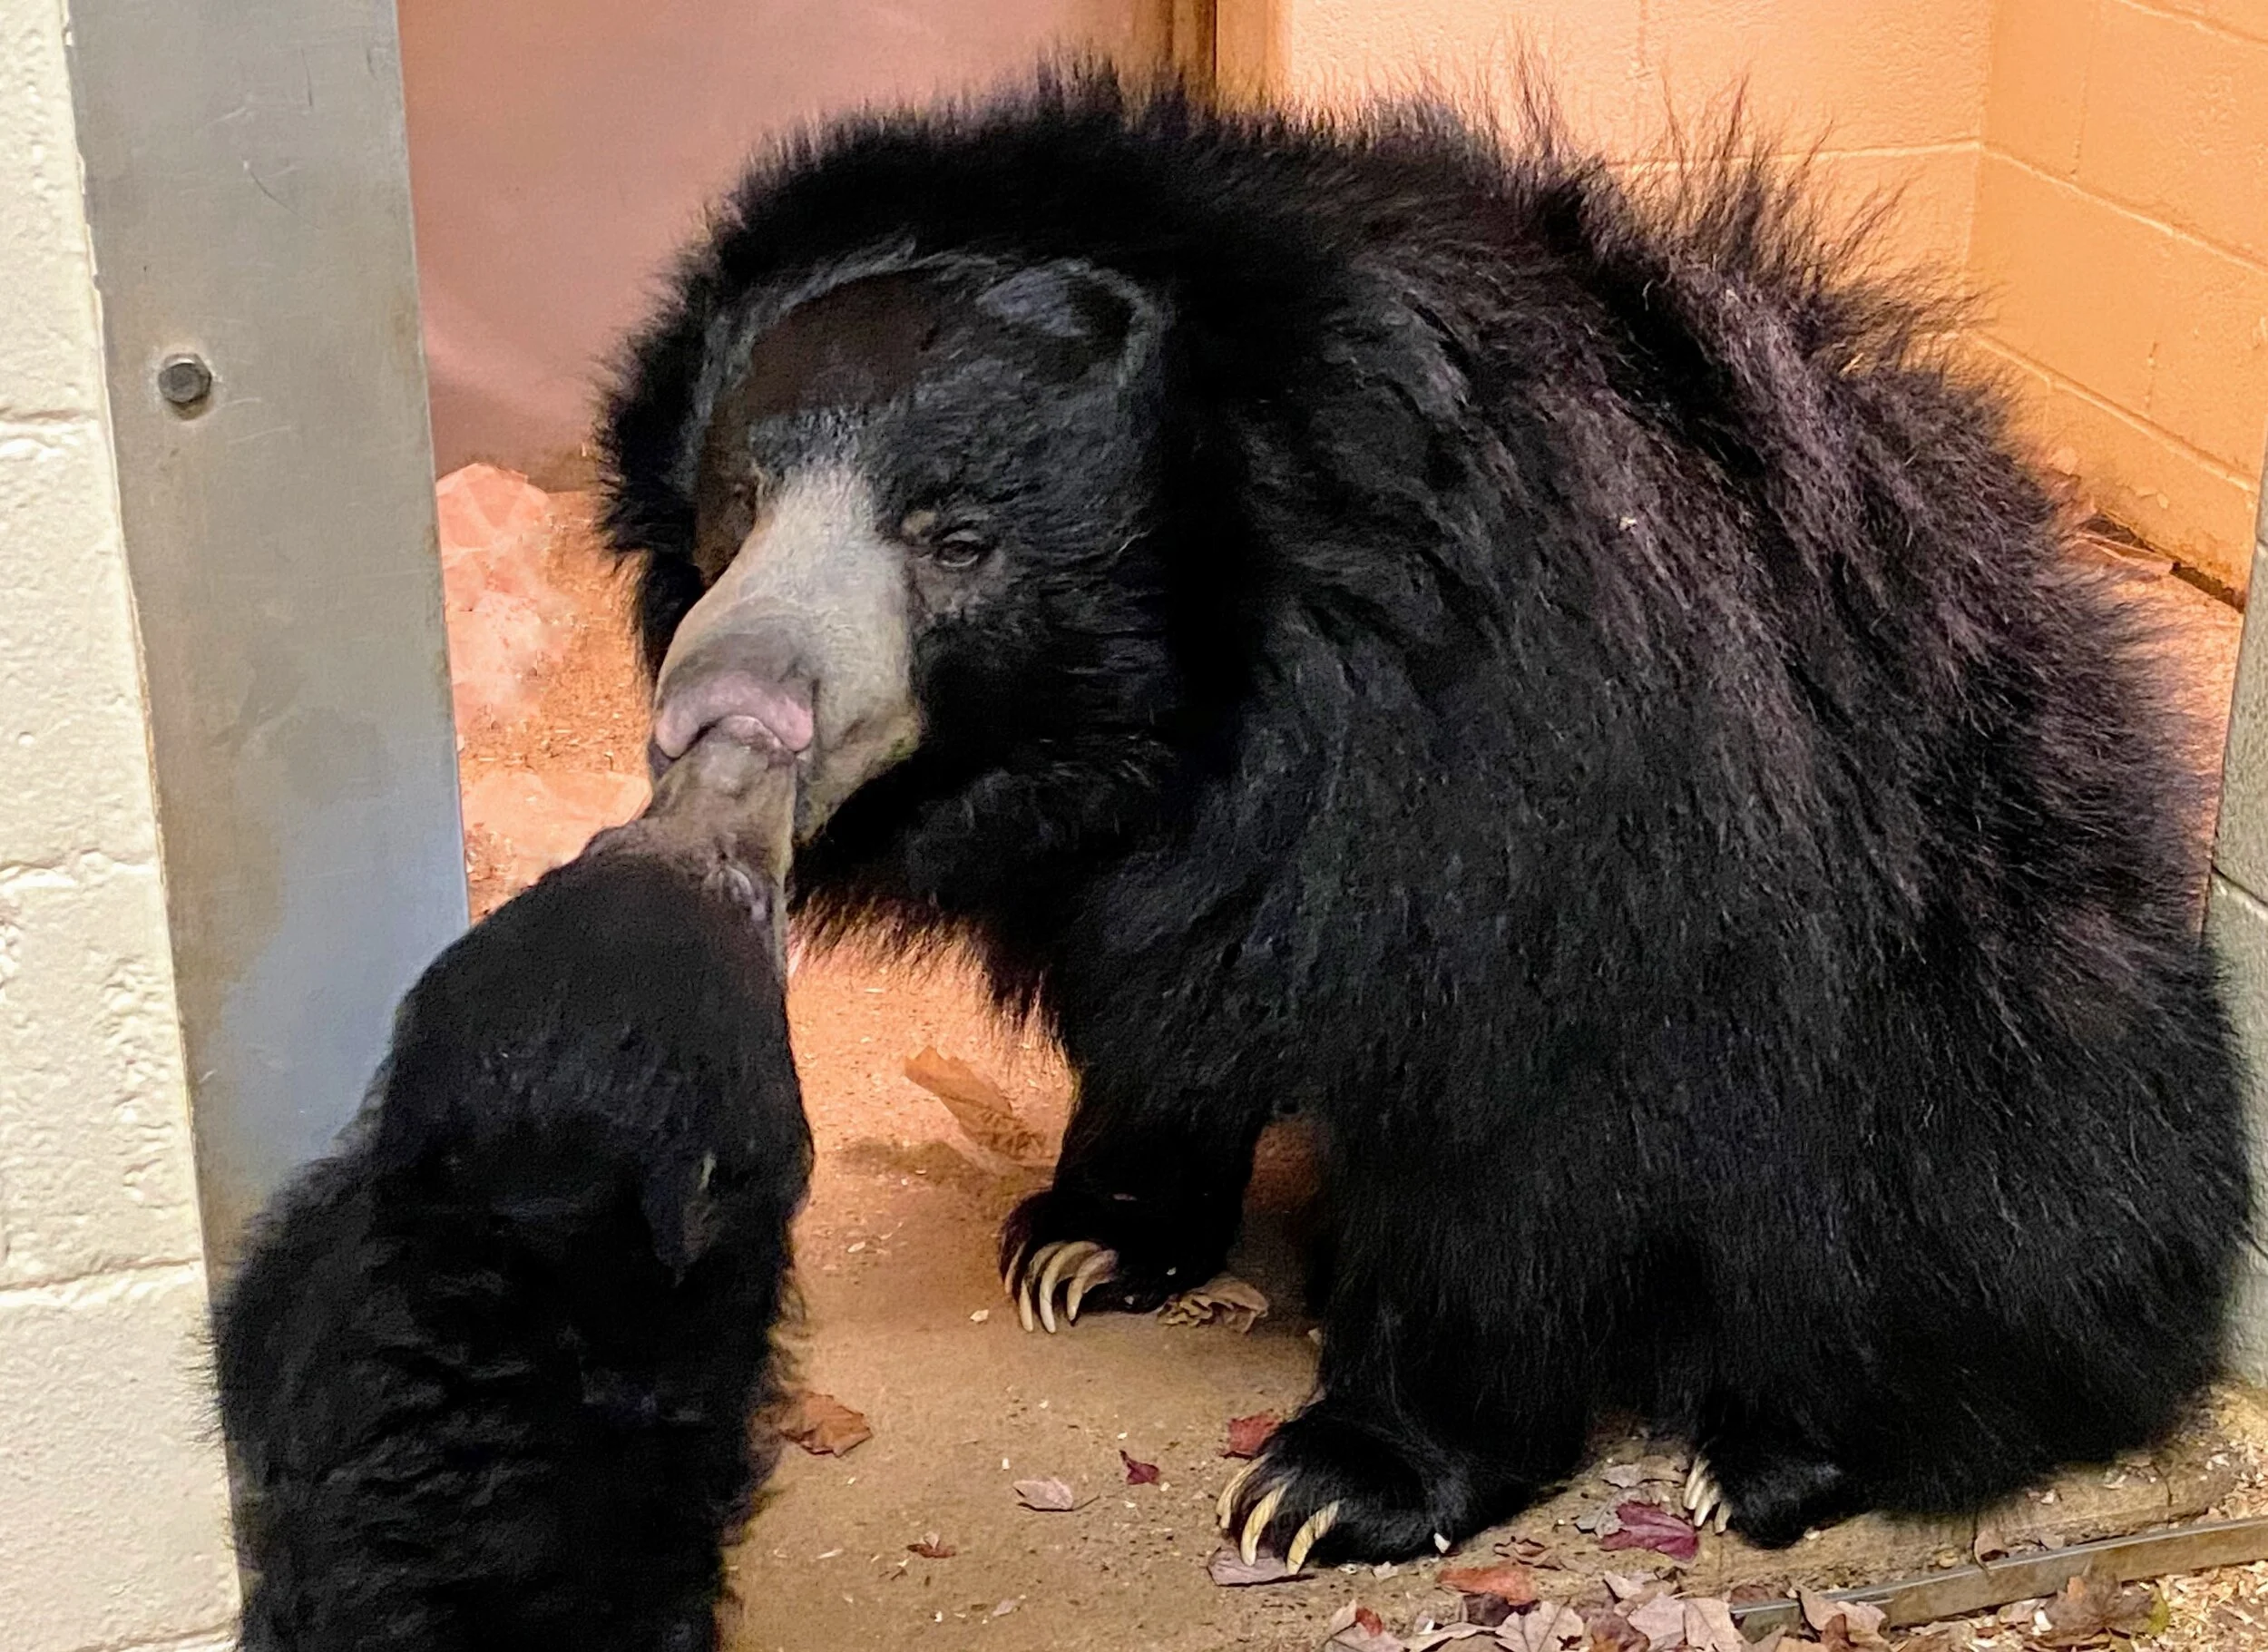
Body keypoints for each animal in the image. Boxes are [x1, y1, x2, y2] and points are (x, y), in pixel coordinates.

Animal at [598, 66, 2253, 1566]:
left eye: (958, 539)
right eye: (738, 501)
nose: (725, 707)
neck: (1213, 692)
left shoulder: (1543, 793)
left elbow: (1505, 1135)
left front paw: (1335, 1483)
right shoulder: (1167, 845)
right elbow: (1173, 997)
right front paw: (1082, 1238)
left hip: (1977, 1056)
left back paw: (1770, 1452)